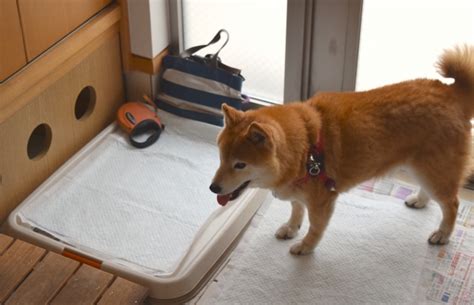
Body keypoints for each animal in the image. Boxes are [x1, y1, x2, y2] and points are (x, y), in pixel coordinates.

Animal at [209, 45, 474, 254]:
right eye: (220, 158)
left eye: (240, 165)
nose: (213, 188)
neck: (305, 150)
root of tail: (452, 92)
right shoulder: (298, 194)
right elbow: (296, 211)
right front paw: (291, 228)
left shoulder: (322, 201)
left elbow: (315, 227)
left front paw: (305, 246)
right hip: (420, 167)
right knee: (433, 193)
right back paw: (419, 200)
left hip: (434, 170)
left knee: (451, 204)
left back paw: (442, 234)